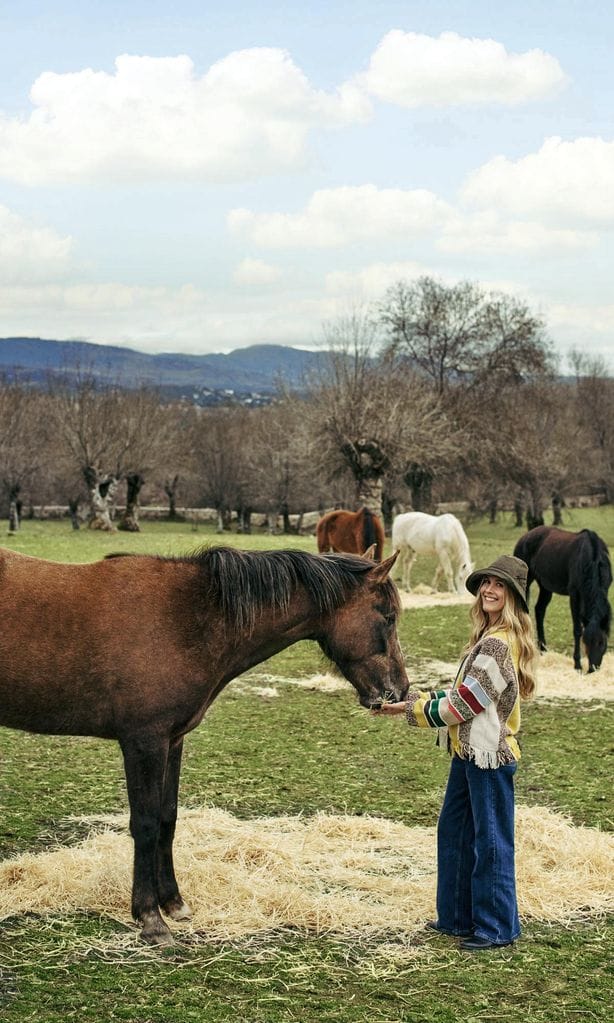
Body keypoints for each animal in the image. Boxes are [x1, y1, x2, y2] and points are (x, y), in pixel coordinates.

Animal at [0, 548, 407, 945]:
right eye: (387, 617)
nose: (398, 692)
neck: (186, 617)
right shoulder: (144, 742)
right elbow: (145, 823)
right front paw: (150, 918)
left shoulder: (172, 741)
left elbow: (167, 819)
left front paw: (174, 903)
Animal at [513, 527, 609, 671]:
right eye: (586, 642)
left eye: (601, 642)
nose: (593, 668)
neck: (591, 558)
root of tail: (525, 537)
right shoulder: (575, 595)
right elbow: (577, 629)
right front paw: (577, 665)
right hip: (526, 581)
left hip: (545, 586)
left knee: (539, 610)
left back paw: (543, 649)